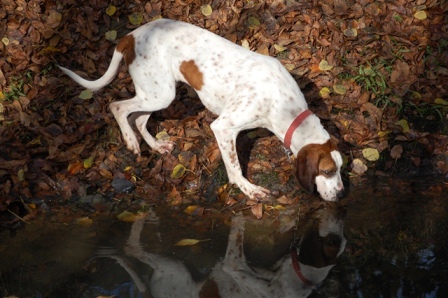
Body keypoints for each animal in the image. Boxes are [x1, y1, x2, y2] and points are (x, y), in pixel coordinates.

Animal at [59, 17, 344, 201]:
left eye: (341, 168)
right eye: (328, 171)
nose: (342, 194)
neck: (286, 107)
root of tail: (132, 35)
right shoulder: (223, 128)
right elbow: (234, 167)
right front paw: (247, 189)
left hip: (158, 92)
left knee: (138, 119)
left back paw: (156, 146)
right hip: (159, 94)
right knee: (117, 106)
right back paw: (130, 141)